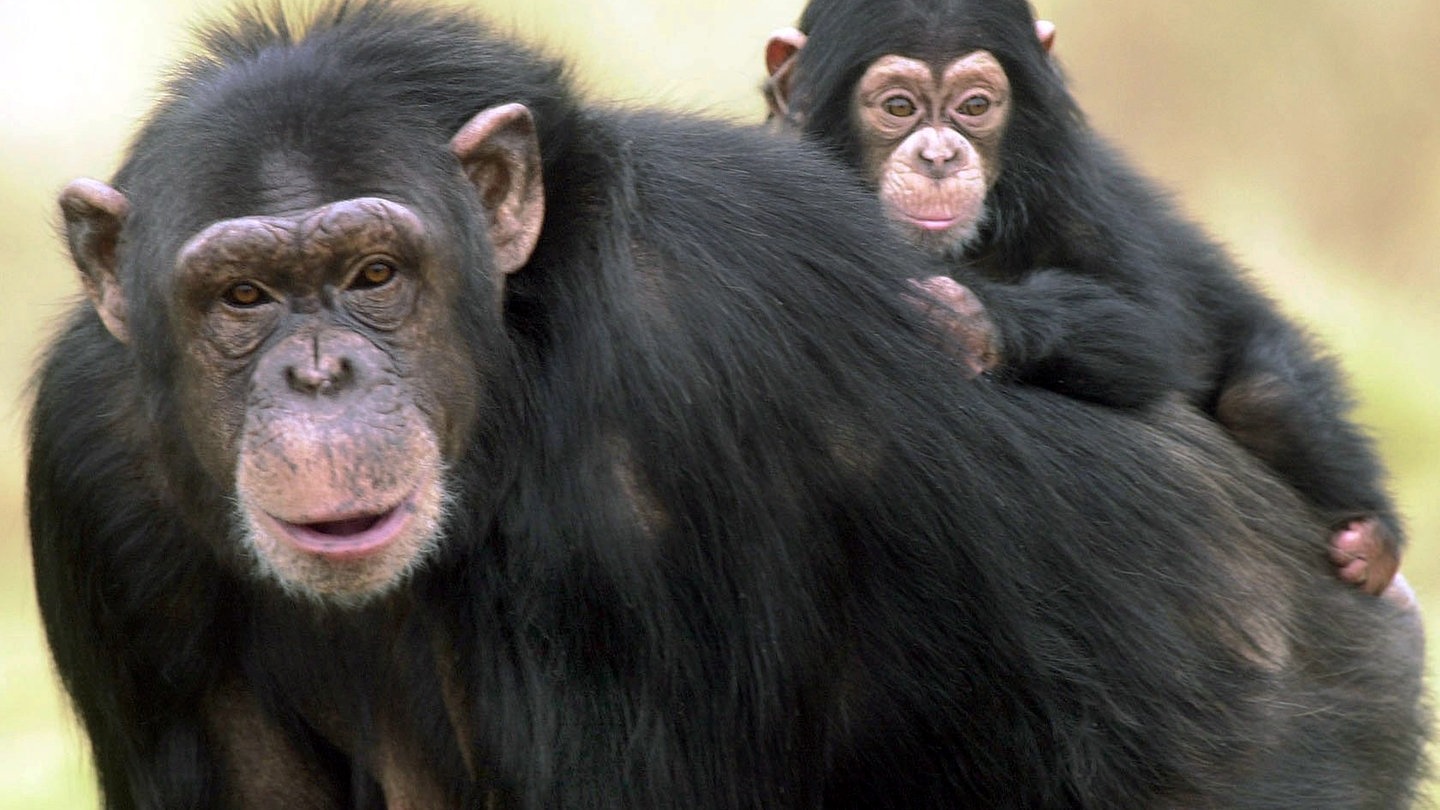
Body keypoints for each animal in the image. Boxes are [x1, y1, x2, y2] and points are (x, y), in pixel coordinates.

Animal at [766, 0, 1405, 593]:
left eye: (974, 107)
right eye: (899, 107)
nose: (940, 156)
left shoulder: (1070, 183)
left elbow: (1148, 327)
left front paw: (966, 319)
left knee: (1265, 399)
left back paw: (1373, 541)